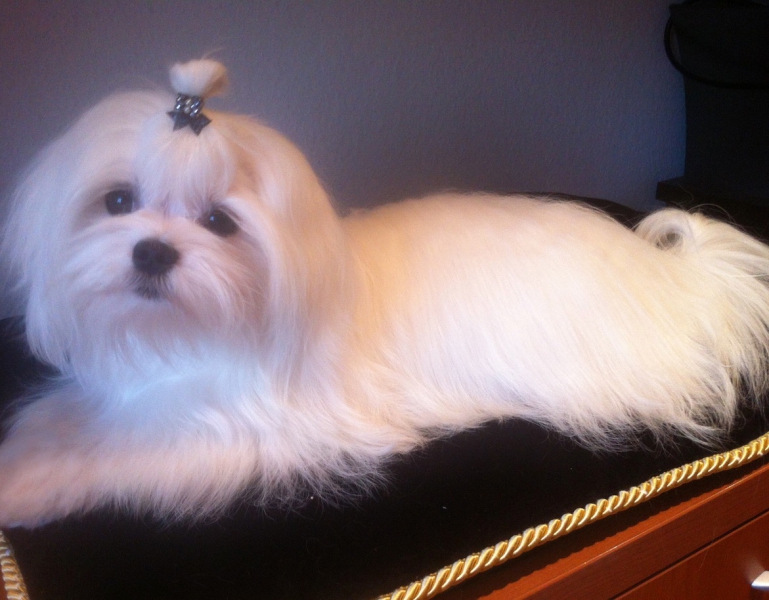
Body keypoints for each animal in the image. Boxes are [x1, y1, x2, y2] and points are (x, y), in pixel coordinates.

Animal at [2, 59, 769, 528]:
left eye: (219, 222)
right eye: (118, 201)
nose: (153, 250)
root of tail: (664, 276)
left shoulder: (239, 428)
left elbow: (120, 453)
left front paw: (24, 487)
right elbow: (68, 419)